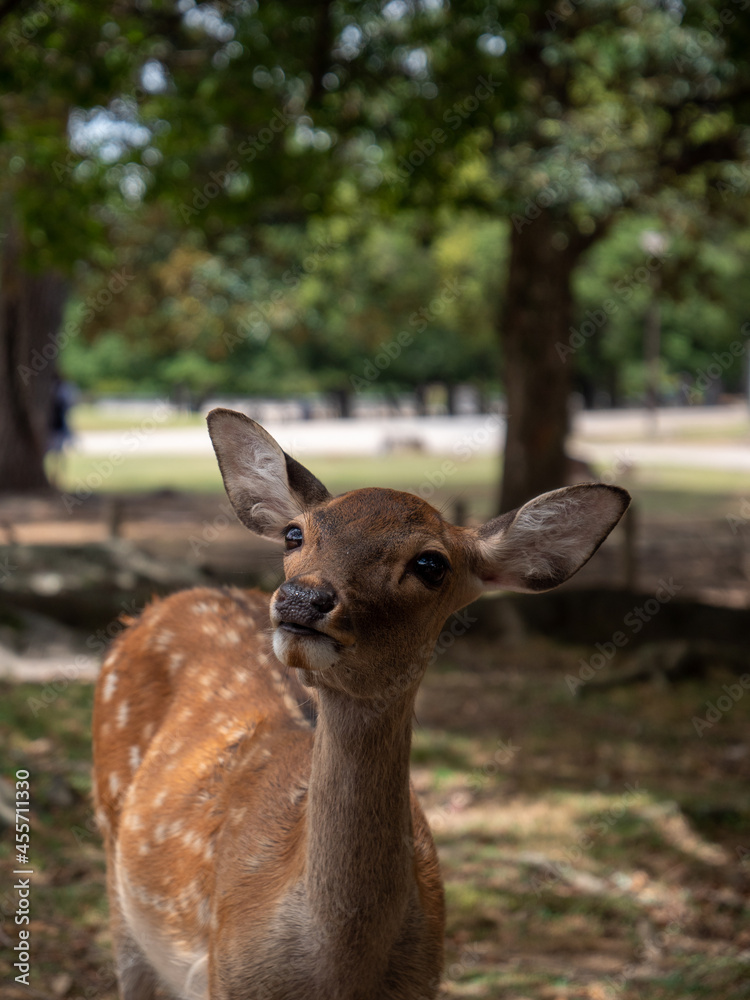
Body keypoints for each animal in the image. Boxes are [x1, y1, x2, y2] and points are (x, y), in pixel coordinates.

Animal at [92, 408, 630, 1000]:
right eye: (295, 533)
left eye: (431, 563)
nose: (302, 598)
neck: (341, 976)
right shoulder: (220, 978)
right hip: (114, 860)